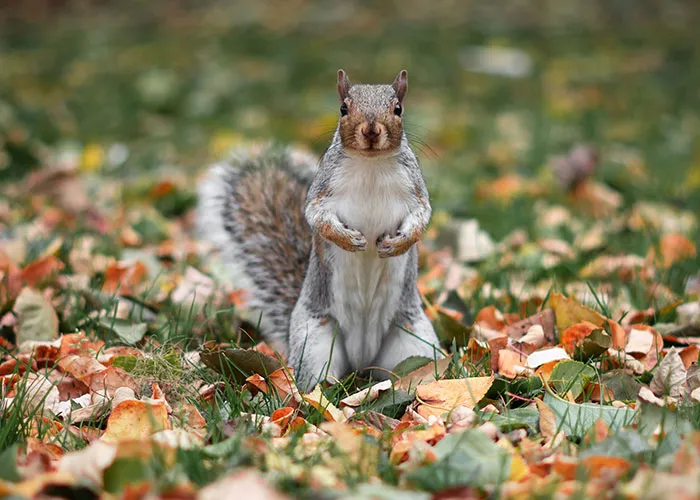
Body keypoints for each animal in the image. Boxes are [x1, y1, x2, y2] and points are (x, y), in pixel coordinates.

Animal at [197, 70, 442, 391]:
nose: (371, 131)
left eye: (398, 109)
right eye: (343, 108)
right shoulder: (322, 191)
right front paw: (349, 240)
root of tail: (362, 360)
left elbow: (422, 217)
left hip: (415, 340)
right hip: (314, 342)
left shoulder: (415, 191)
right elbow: (316, 218)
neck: (371, 164)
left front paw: (398, 244)